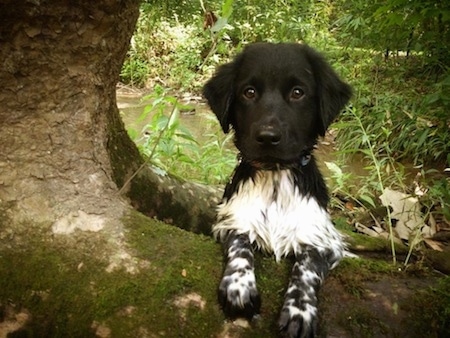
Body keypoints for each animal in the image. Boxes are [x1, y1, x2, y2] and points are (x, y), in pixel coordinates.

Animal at [203, 43, 352, 338]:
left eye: (298, 92)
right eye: (249, 92)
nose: (268, 137)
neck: (274, 178)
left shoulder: (324, 239)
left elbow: (307, 266)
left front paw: (300, 310)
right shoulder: (231, 220)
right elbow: (240, 244)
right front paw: (239, 286)